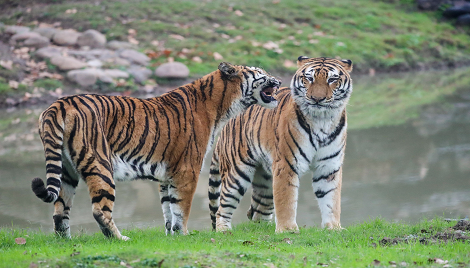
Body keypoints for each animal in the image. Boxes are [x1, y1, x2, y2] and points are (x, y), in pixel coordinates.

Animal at [34, 61, 282, 240]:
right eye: (260, 72)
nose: (279, 80)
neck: (223, 106)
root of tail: (60, 103)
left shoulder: (167, 174)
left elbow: (168, 209)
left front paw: (171, 236)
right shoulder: (188, 170)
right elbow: (182, 208)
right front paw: (183, 235)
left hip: (67, 170)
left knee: (60, 210)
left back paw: (66, 241)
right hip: (99, 163)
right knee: (99, 210)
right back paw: (119, 238)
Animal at [208, 56, 352, 232]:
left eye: (332, 80)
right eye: (309, 78)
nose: (317, 99)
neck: (322, 119)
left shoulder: (329, 166)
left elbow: (331, 199)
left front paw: (333, 228)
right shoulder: (286, 163)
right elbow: (286, 200)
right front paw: (288, 230)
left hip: (266, 179)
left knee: (258, 212)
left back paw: (264, 229)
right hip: (236, 173)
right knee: (222, 208)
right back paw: (224, 230)